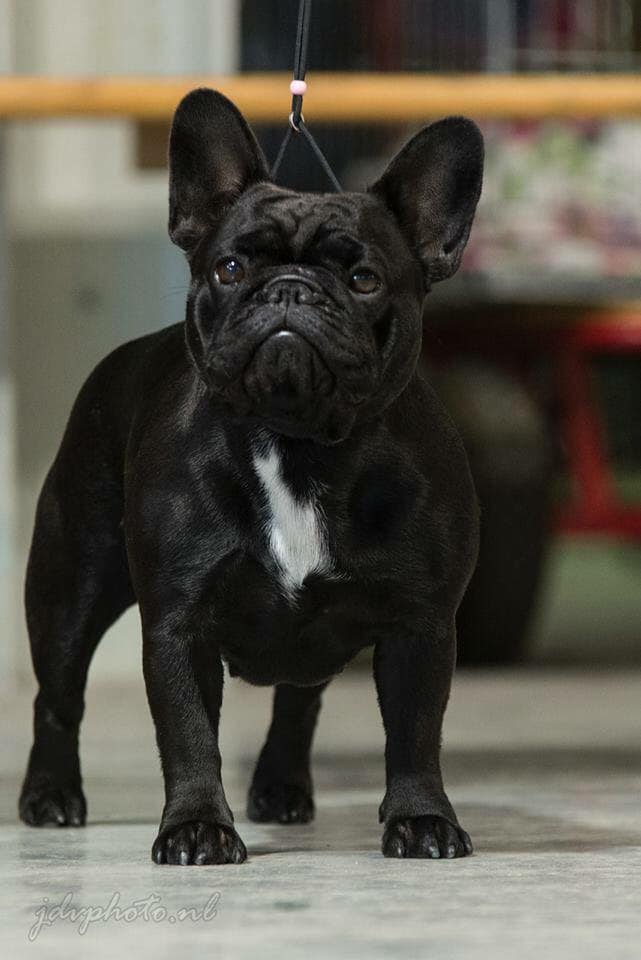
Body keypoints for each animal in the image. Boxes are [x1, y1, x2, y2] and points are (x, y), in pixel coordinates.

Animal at [19, 89, 483, 864]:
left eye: (362, 279)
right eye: (231, 269)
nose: (289, 290)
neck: (296, 444)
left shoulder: (420, 626)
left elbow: (416, 734)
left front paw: (421, 819)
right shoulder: (179, 626)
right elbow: (188, 736)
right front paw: (196, 826)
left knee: (298, 701)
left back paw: (282, 788)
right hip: (69, 588)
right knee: (57, 695)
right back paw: (50, 796)